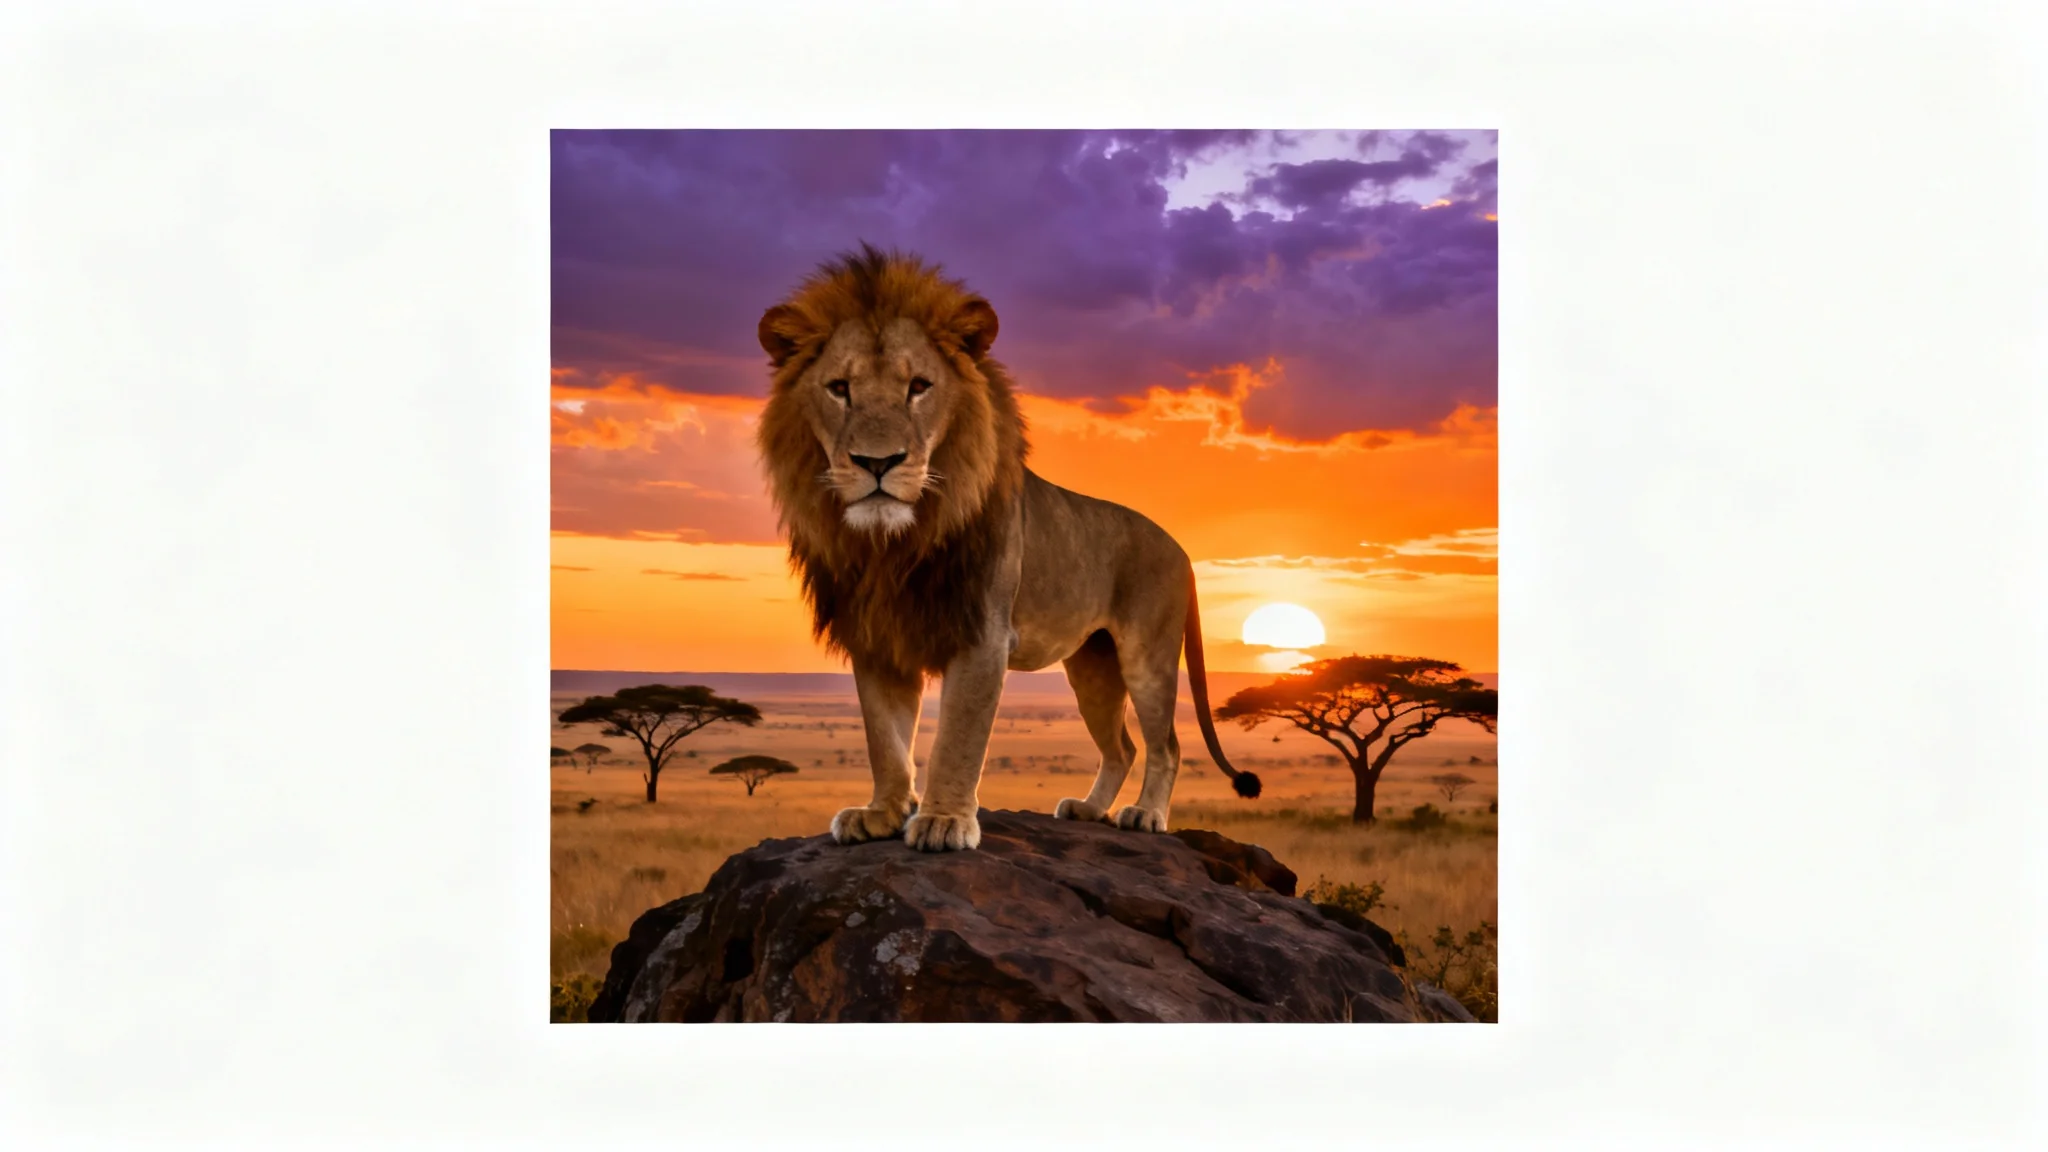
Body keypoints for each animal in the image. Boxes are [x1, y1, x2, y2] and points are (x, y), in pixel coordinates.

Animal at [755, 243, 1260, 852]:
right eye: (839, 388)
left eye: (918, 386)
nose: (878, 463)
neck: (893, 545)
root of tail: (1182, 549)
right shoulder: (879, 636)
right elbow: (885, 738)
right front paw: (880, 813)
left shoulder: (982, 632)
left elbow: (958, 737)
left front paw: (944, 821)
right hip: (1092, 667)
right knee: (1122, 746)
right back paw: (1089, 809)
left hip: (1147, 655)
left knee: (1167, 745)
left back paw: (1145, 815)